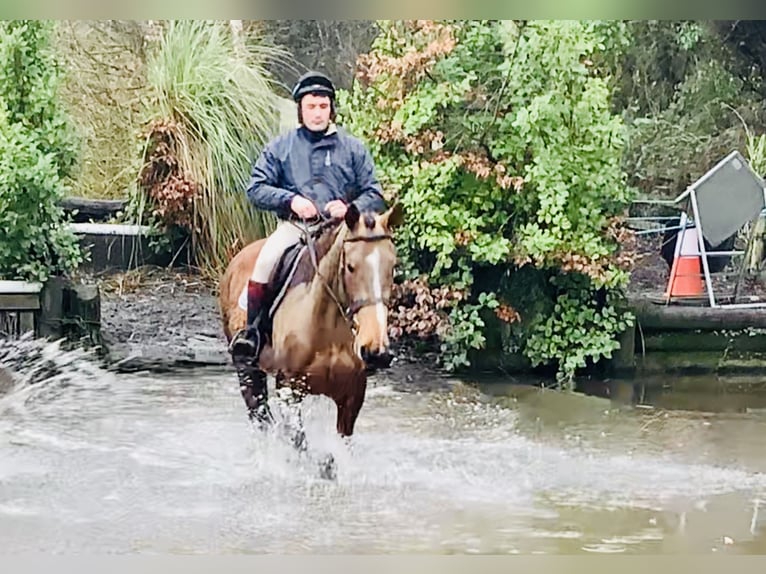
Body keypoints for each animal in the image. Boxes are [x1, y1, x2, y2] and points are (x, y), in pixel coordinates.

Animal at [218, 202, 402, 461]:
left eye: (393, 267)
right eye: (350, 267)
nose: (376, 351)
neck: (329, 330)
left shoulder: (352, 396)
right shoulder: (288, 390)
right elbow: (300, 444)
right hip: (247, 370)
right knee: (261, 418)